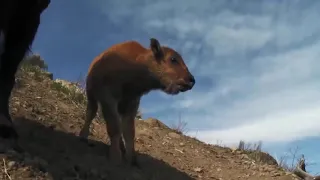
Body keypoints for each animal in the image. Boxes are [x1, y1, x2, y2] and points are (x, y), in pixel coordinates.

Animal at [79, 38, 195, 167]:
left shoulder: (131, 104)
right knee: (91, 112)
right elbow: (114, 127)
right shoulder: (109, 99)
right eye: (173, 59)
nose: (191, 80)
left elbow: (129, 132)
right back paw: (83, 136)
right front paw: (115, 157)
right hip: (91, 95)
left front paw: (132, 160)